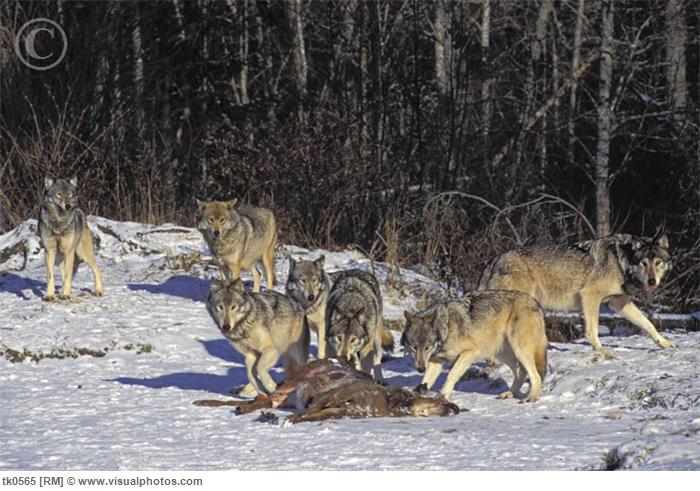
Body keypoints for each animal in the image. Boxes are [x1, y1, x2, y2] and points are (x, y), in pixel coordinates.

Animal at [402, 290, 548, 402]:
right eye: (414, 347)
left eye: (427, 347)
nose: (420, 368)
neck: (447, 327)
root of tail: (535, 301)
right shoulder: (435, 361)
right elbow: (426, 380)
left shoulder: (470, 352)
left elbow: (451, 375)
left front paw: (443, 396)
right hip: (504, 355)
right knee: (520, 373)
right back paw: (510, 393)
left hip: (519, 350)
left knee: (535, 376)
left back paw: (531, 398)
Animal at [478, 232, 675, 357]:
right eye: (644, 263)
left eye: (658, 262)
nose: (652, 281)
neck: (620, 260)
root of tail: (494, 260)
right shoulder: (590, 296)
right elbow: (591, 331)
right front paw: (602, 351)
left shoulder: (618, 303)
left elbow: (648, 324)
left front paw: (664, 343)